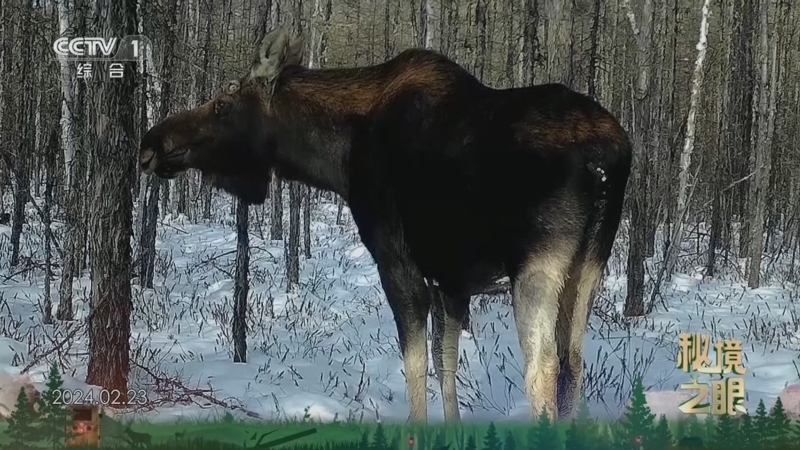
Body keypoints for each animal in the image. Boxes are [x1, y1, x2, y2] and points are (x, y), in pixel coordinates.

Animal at [139, 26, 632, 422]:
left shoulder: (398, 262)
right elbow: (446, 364)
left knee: (543, 370)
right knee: (574, 365)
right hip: (589, 266)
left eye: (222, 103)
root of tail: (607, 158)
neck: (335, 157)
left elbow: (414, 366)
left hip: (537, 268)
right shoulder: (452, 282)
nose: (151, 143)